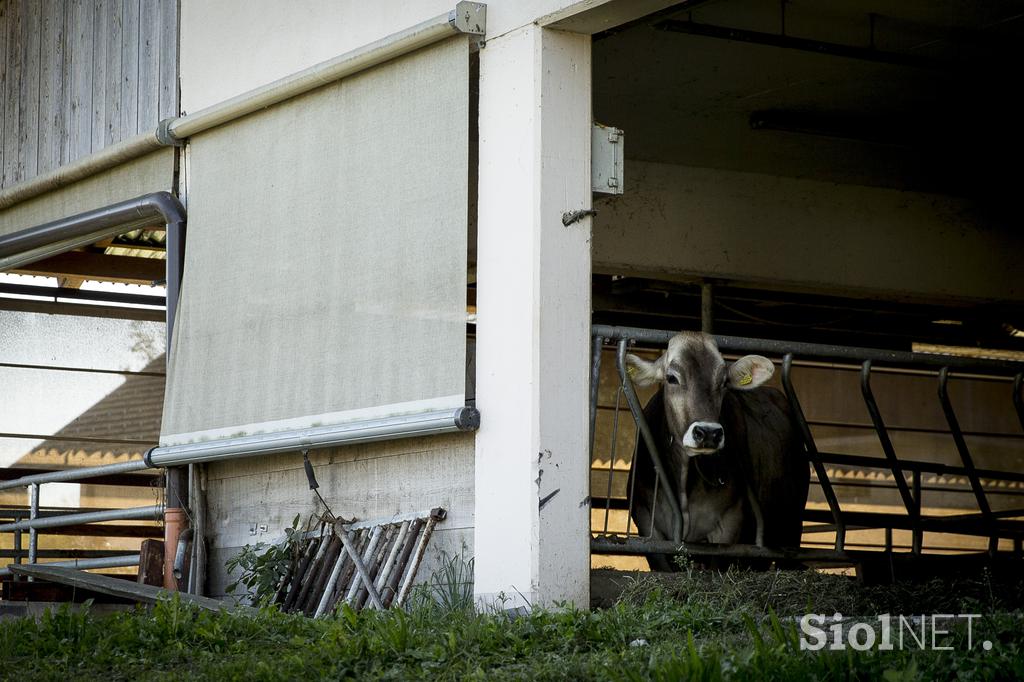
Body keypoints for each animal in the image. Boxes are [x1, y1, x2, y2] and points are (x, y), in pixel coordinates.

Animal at [622, 329, 806, 569]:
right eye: (672, 378)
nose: (708, 433)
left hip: (792, 524)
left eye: (724, 382)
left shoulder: (729, 526)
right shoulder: (647, 525)